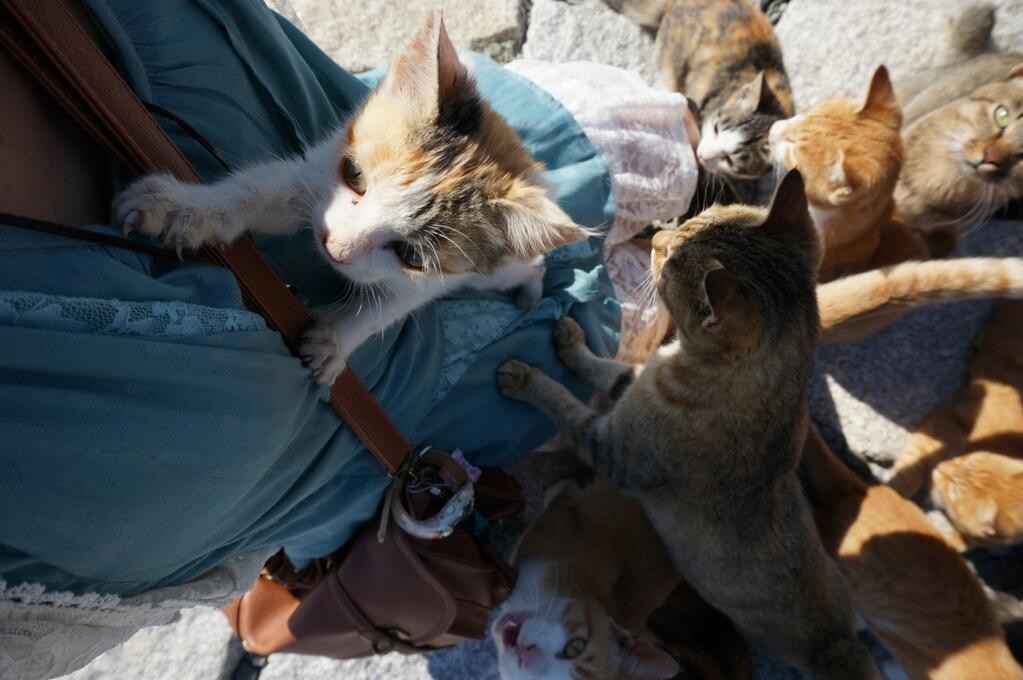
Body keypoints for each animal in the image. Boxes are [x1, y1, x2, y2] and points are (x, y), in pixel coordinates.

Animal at [110, 11, 585, 382]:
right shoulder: (312, 177)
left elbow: (387, 305)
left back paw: (531, 291)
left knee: (532, 265)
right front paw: (181, 209)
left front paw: (336, 341)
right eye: (354, 174)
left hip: (494, 270)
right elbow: (257, 189)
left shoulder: (428, 281)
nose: (334, 248)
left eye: (411, 255)